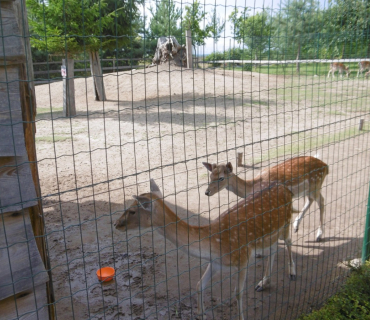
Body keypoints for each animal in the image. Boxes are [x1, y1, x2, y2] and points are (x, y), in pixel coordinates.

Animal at [114, 179, 296, 320]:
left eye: (132, 210)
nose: (116, 224)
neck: (215, 243)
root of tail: (285, 187)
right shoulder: (215, 262)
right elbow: (199, 285)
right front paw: (200, 314)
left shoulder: (243, 257)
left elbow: (238, 292)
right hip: (270, 234)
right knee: (274, 249)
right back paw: (263, 282)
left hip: (286, 221)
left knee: (288, 240)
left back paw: (292, 273)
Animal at [202, 156, 330, 242]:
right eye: (210, 176)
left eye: (221, 178)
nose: (207, 192)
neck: (253, 186)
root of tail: (326, 166)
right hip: (308, 189)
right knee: (310, 200)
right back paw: (296, 226)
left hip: (316, 185)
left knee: (322, 202)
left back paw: (319, 235)